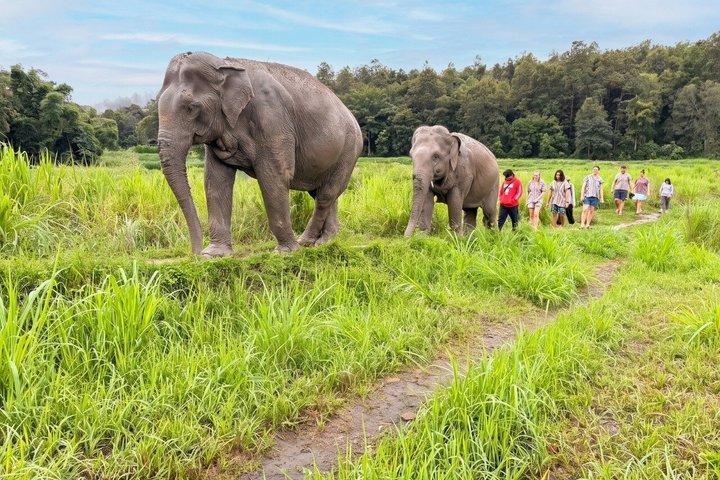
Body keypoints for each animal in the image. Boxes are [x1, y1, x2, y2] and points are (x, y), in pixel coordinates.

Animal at [156, 52, 363, 256]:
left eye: (191, 108)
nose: (196, 254)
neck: (224, 64)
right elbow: (215, 180)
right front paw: (215, 254)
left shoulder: (272, 118)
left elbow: (275, 176)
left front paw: (285, 252)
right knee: (323, 193)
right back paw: (326, 241)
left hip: (349, 151)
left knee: (326, 195)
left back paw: (307, 242)